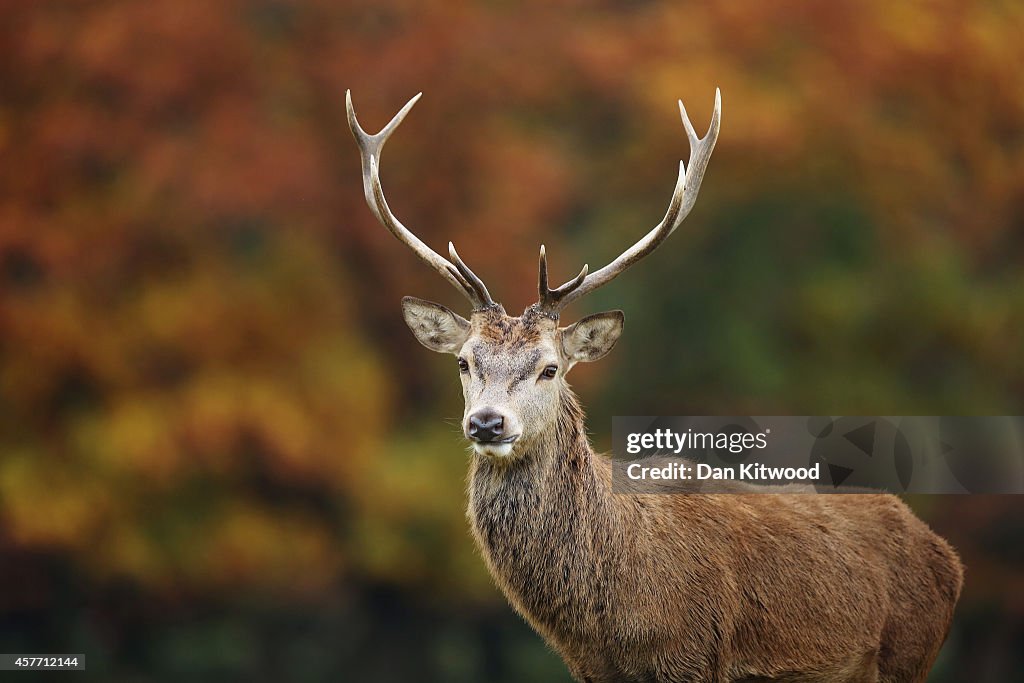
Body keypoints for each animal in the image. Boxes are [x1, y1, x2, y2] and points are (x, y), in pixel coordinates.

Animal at [348, 90, 962, 683]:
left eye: (549, 367)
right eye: (464, 362)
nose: (487, 422)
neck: (611, 611)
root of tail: (947, 558)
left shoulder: (692, 656)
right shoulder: (593, 672)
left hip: (907, 656)